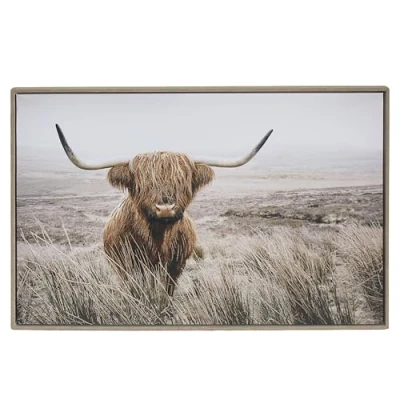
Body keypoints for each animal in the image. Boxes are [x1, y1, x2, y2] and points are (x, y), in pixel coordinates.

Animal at [55, 124, 273, 296]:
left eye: (182, 181)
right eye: (143, 183)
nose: (165, 208)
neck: (157, 238)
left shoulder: (175, 266)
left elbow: (166, 293)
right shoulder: (127, 265)